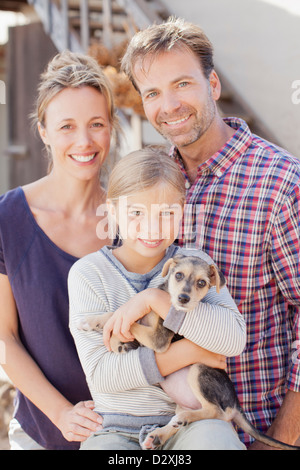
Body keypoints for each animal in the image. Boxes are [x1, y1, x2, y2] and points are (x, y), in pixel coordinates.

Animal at [79, 255, 300, 450]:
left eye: (202, 283)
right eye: (178, 275)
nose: (183, 299)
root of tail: (236, 404)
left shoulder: (158, 339)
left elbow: (126, 320)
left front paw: (112, 334)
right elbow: (117, 315)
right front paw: (95, 324)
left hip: (198, 371)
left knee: (217, 412)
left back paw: (183, 420)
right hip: (183, 400)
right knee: (184, 418)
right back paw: (159, 435)